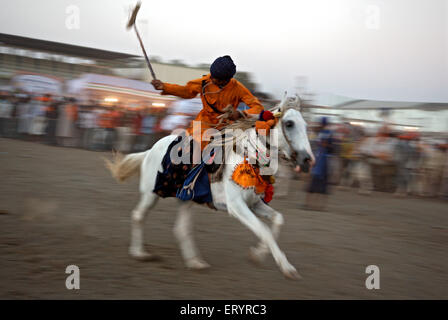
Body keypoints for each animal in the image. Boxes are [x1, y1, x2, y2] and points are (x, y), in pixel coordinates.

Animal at [106, 93, 314, 280]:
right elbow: (264, 230)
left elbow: (277, 220)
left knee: (181, 229)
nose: (308, 159)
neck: (247, 157)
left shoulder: (255, 204)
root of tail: (151, 150)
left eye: (305, 125)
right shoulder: (236, 206)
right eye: (289, 124)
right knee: (138, 216)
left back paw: (195, 262)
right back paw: (139, 253)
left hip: (186, 199)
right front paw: (287, 268)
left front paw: (258, 255)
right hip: (151, 194)